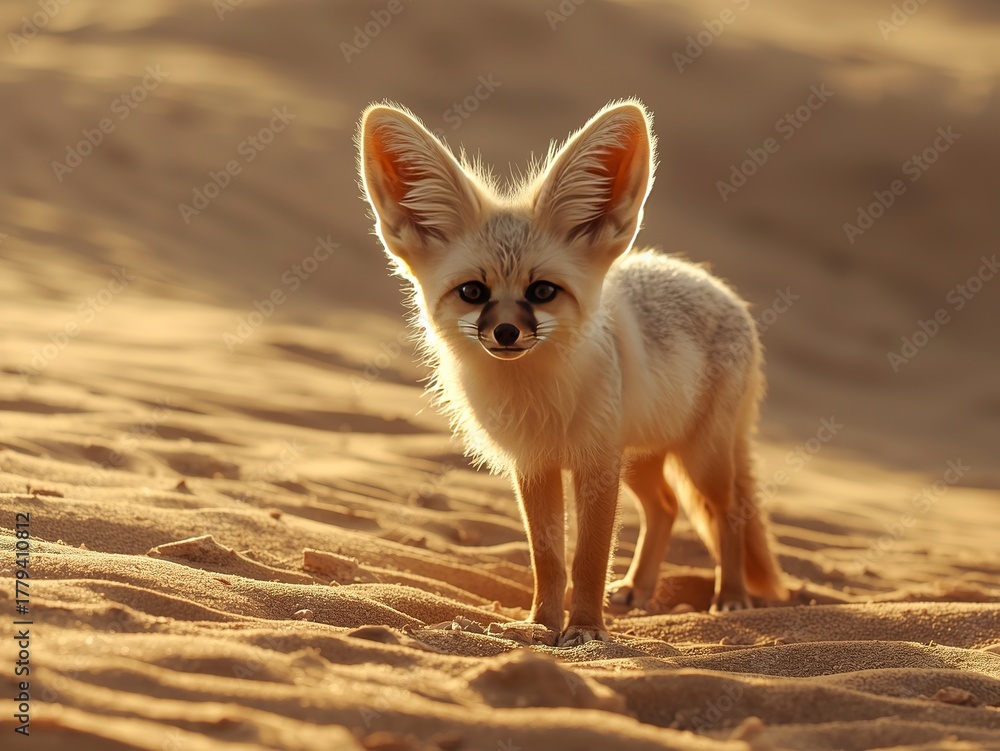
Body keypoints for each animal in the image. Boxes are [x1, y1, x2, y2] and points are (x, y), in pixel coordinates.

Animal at [358, 99, 789, 646]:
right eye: (473, 293)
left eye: (542, 292)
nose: (505, 333)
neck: (537, 399)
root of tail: (717, 285)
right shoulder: (536, 464)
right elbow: (547, 557)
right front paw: (542, 624)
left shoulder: (595, 463)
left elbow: (588, 557)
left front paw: (584, 629)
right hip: (642, 458)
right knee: (665, 507)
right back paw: (638, 590)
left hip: (700, 456)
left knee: (728, 513)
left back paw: (730, 597)